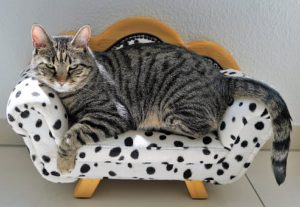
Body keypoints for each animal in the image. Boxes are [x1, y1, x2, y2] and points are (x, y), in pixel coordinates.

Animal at [29, 24, 290, 184]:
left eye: (73, 67)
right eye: (50, 66)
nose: (61, 80)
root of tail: (223, 78)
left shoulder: (114, 114)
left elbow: (72, 134)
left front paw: (63, 162)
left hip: (174, 108)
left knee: (203, 127)